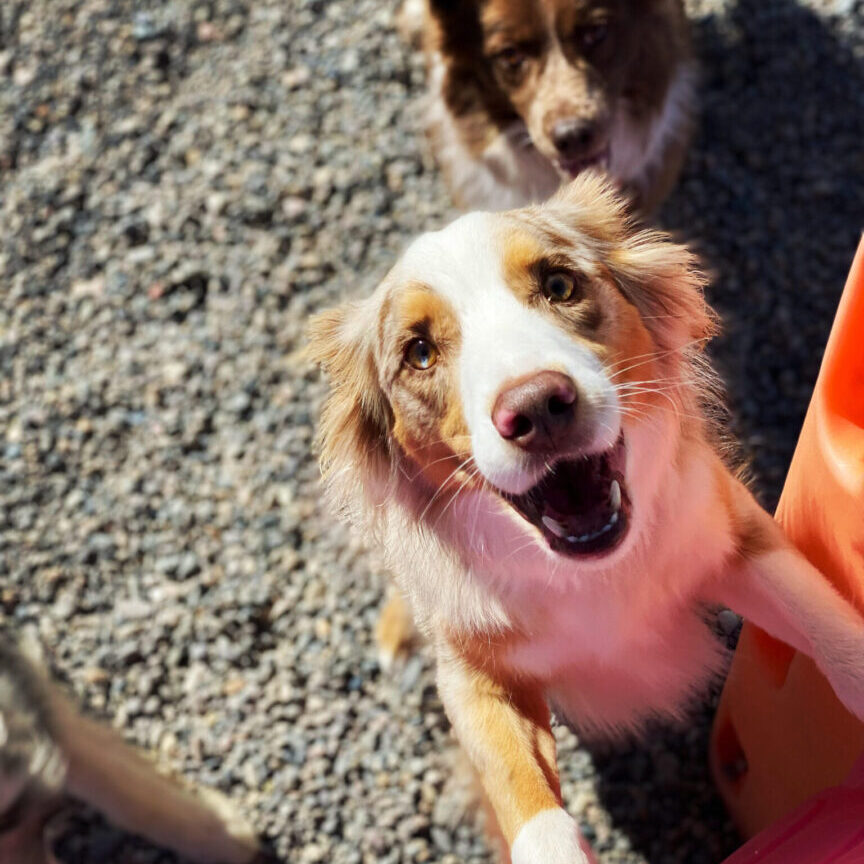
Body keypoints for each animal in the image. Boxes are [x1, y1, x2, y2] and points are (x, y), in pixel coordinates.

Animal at [312, 172, 864, 860]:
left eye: (559, 284)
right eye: (418, 352)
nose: (536, 407)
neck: (596, 571)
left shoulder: (731, 526)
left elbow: (829, 625)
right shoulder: (472, 674)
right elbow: (521, 790)